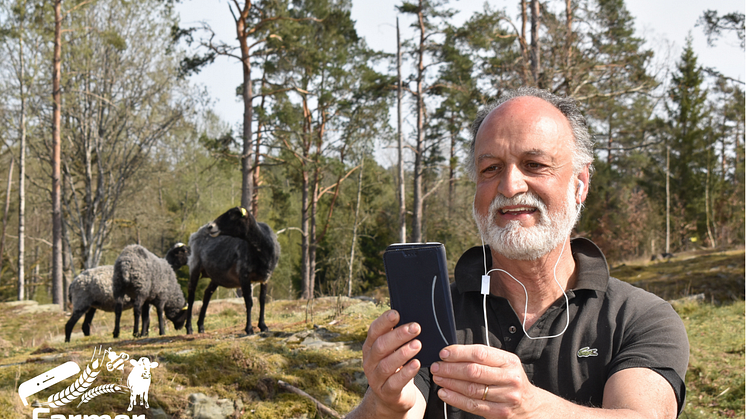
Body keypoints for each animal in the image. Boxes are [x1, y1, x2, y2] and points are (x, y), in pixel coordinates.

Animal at [185, 205, 280, 336]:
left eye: (231, 215)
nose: (210, 226)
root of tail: (195, 233)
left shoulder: (265, 277)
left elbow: (262, 300)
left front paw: (263, 326)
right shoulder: (244, 274)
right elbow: (249, 302)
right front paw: (249, 329)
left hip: (216, 276)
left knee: (207, 293)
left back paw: (201, 326)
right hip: (195, 265)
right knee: (191, 295)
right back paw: (189, 328)